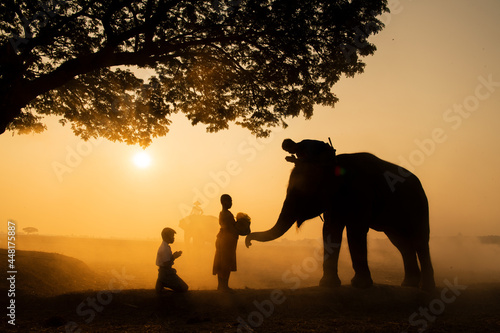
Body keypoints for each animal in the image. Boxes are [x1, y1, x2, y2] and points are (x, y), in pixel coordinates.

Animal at [248, 144, 436, 290]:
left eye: (302, 190)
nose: (248, 241)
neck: (334, 163)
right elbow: (331, 230)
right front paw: (328, 285)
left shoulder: (361, 194)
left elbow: (355, 231)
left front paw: (360, 285)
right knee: (401, 243)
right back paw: (409, 284)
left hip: (419, 205)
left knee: (419, 240)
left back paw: (426, 287)